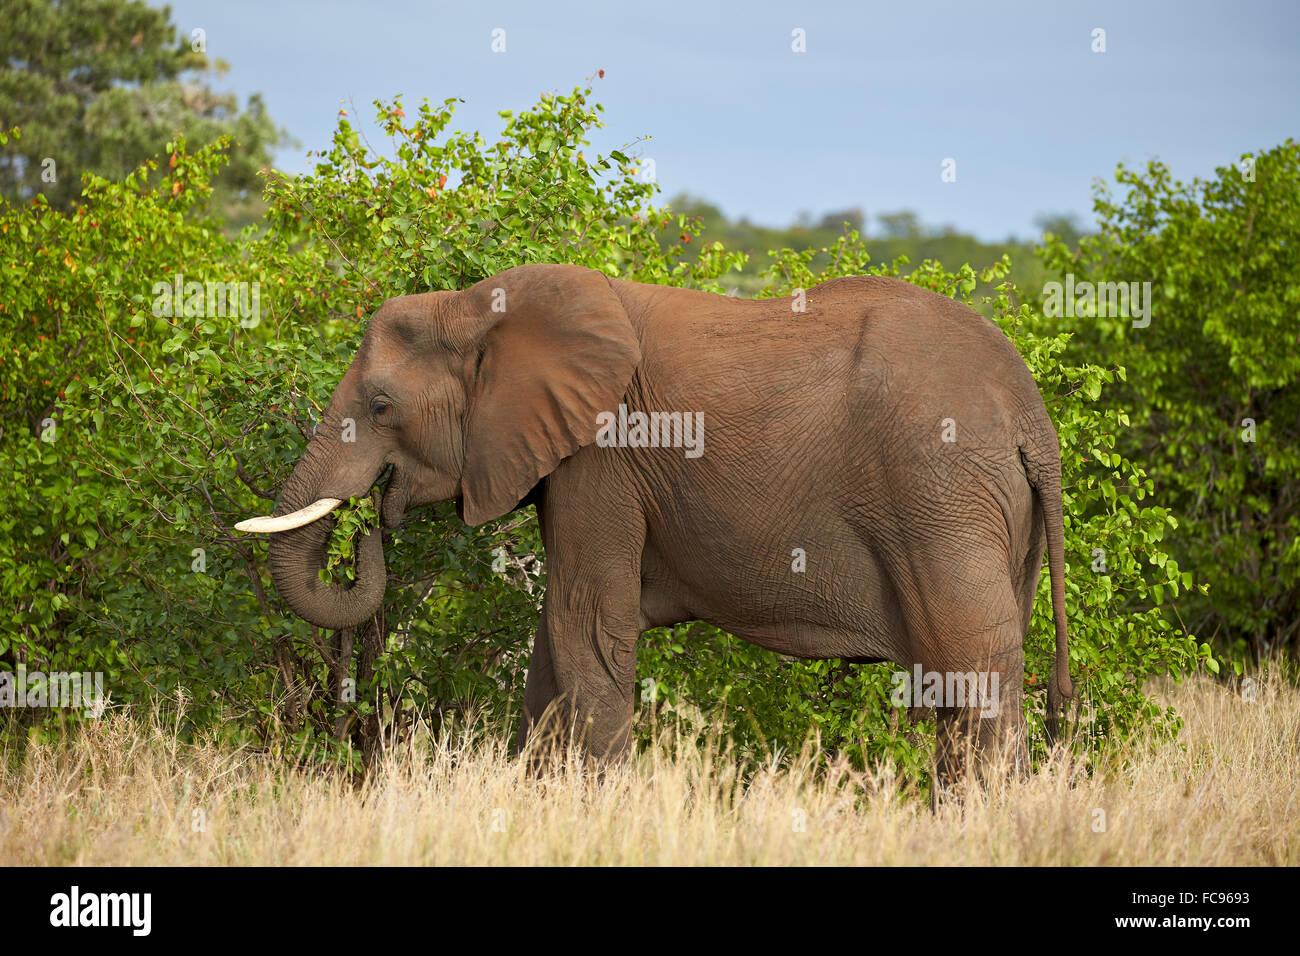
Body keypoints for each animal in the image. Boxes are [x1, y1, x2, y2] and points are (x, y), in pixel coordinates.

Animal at [239, 260, 1071, 780]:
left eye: (381, 406)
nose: (374, 520)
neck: (478, 305)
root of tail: (1032, 419)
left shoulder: (602, 460)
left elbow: (585, 628)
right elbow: (554, 644)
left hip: (942, 498)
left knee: (972, 679)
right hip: (995, 516)